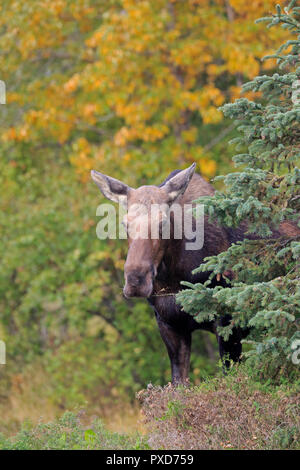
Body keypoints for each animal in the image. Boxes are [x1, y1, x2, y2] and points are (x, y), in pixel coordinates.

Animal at [91, 163, 298, 384]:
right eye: (125, 224)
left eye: (163, 223)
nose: (135, 281)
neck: (175, 278)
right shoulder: (169, 324)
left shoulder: (228, 322)